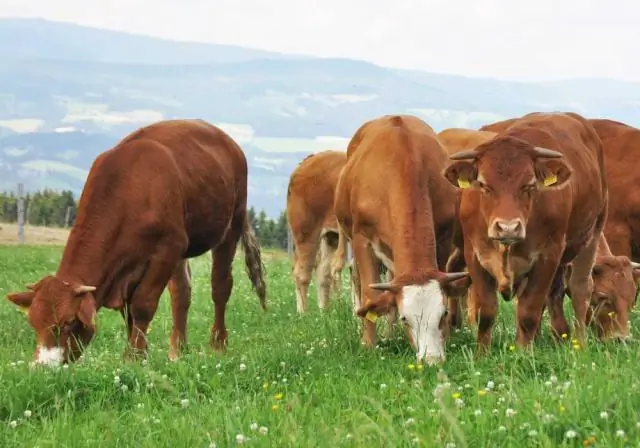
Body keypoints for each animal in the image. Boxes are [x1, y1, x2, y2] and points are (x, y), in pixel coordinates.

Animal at [5, 119, 264, 368]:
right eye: (34, 322)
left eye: (68, 322)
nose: (42, 367)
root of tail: (229, 143)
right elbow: (130, 311)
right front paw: (141, 354)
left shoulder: (167, 248)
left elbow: (142, 305)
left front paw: (134, 357)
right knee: (181, 293)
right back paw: (177, 351)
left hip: (232, 223)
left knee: (220, 286)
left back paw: (218, 345)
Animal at [286, 150, 348, 312]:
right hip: (306, 233)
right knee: (302, 274)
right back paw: (303, 313)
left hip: (330, 235)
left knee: (323, 273)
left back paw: (324, 312)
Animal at [336, 114, 470, 364]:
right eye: (406, 319)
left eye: (443, 314)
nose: (431, 360)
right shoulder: (361, 239)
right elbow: (371, 295)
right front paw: (368, 345)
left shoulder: (444, 238)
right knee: (360, 282)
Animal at [442, 111, 608, 350]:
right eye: (483, 185)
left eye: (528, 185)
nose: (508, 227)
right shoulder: (474, 254)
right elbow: (486, 312)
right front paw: (482, 353)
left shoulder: (548, 257)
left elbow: (529, 312)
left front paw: (522, 352)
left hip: (592, 234)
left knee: (580, 290)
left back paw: (581, 344)